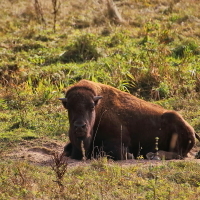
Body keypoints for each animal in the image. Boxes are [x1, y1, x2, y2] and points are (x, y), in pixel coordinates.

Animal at [59, 79, 197, 160]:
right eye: (69, 107)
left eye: (92, 106)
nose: (79, 127)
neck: (99, 109)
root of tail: (192, 130)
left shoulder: (119, 142)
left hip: (175, 121)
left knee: (178, 154)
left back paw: (153, 155)